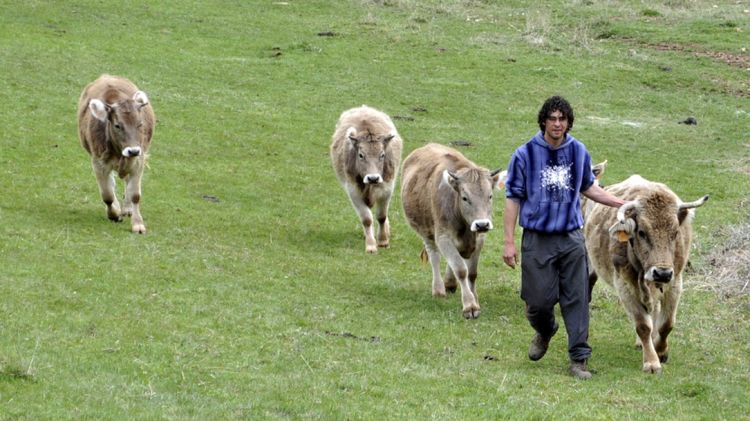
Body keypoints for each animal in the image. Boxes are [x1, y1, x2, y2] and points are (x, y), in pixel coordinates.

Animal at [400, 143, 506, 316]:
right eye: (465, 198)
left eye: (490, 196)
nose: (482, 224)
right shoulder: (443, 237)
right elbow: (461, 269)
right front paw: (470, 305)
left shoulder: (479, 239)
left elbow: (472, 273)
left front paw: (474, 298)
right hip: (426, 232)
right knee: (434, 257)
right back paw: (438, 290)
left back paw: (450, 283)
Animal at [588, 176, 712, 372]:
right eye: (641, 232)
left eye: (675, 233)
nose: (662, 273)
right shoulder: (625, 286)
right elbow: (643, 326)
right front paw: (651, 361)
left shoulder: (675, 283)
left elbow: (667, 324)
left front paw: (661, 351)